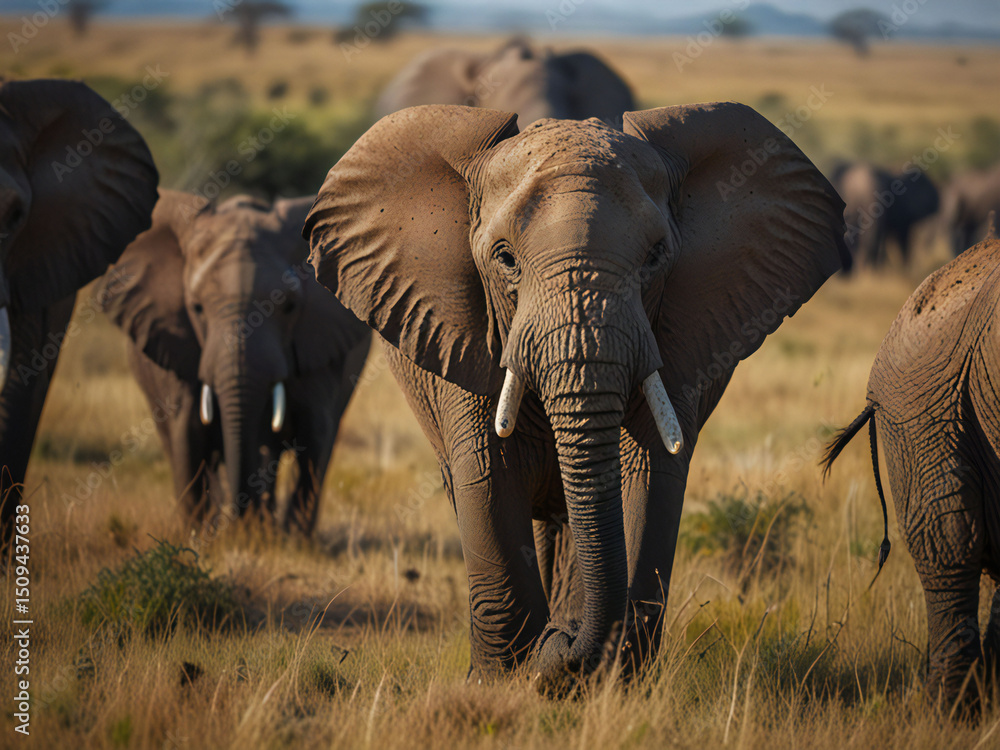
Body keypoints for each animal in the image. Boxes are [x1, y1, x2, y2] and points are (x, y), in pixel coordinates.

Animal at [99, 189, 370, 535]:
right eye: (196, 308)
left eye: (290, 307)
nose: (240, 522)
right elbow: (187, 435)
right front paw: (201, 535)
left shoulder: (321, 343)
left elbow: (314, 435)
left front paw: (291, 540)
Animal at [304, 103, 848, 687]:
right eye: (505, 259)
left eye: (656, 256)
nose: (562, 642)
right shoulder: (464, 335)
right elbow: (489, 476)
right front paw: (506, 683)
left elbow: (646, 477)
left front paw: (603, 682)